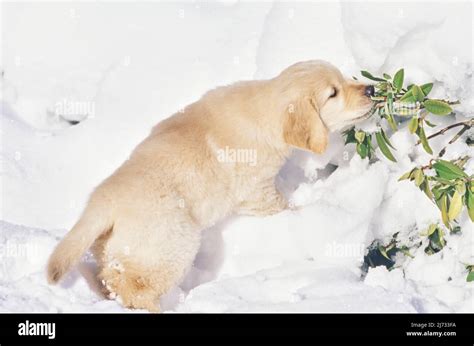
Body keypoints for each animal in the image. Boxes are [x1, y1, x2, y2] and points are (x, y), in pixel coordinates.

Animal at [47, 59, 374, 310]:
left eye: (343, 79)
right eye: (333, 93)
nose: (371, 88)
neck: (266, 110)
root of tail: (102, 202)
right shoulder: (256, 190)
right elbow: (280, 206)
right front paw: (304, 215)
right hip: (173, 243)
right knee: (134, 285)